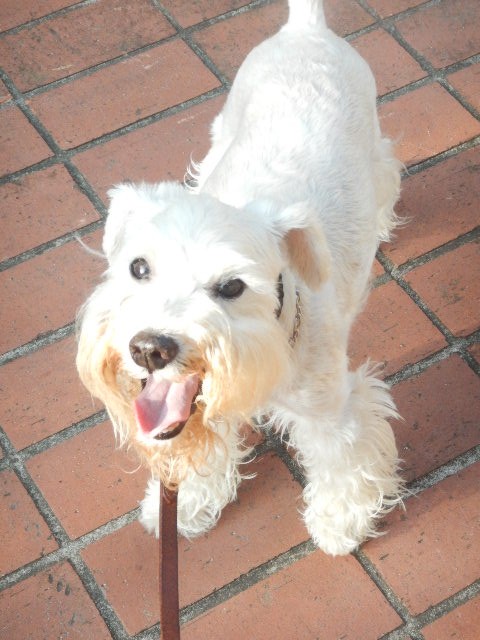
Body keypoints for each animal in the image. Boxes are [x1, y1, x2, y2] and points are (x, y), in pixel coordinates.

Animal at [77, 0, 403, 556]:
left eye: (231, 286)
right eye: (138, 267)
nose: (151, 348)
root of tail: (305, 29)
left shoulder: (329, 410)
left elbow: (340, 460)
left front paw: (341, 523)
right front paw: (184, 504)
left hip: (374, 146)